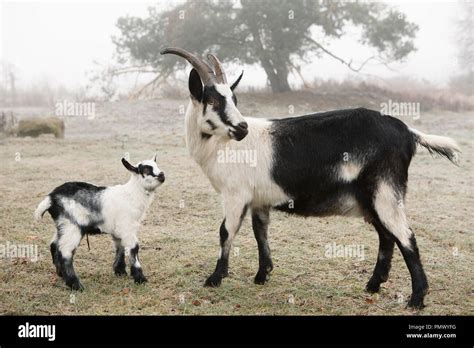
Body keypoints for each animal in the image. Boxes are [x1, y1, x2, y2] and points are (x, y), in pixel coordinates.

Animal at [35, 156, 165, 290]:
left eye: (156, 165)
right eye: (146, 170)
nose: (162, 175)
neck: (131, 194)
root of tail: (51, 199)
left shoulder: (118, 230)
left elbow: (120, 247)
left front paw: (120, 271)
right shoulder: (127, 227)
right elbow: (134, 248)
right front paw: (140, 278)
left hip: (62, 226)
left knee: (54, 245)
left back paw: (61, 275)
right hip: (72, 226)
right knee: (65, 251)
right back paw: (76, 285)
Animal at [161, 47, 462, 310]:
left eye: (234, 100)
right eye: (213, 101)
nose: (242, 128)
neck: (222, 147)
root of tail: (407, 131)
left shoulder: (236, 195)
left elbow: (226, 231)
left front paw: (215, 279)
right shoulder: (259, 199)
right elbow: (260, 231)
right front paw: (262, 275)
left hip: (385, 191)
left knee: (406, 237)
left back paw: (416, 299)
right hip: (371, 196)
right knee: (387, 236)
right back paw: (373, 285)